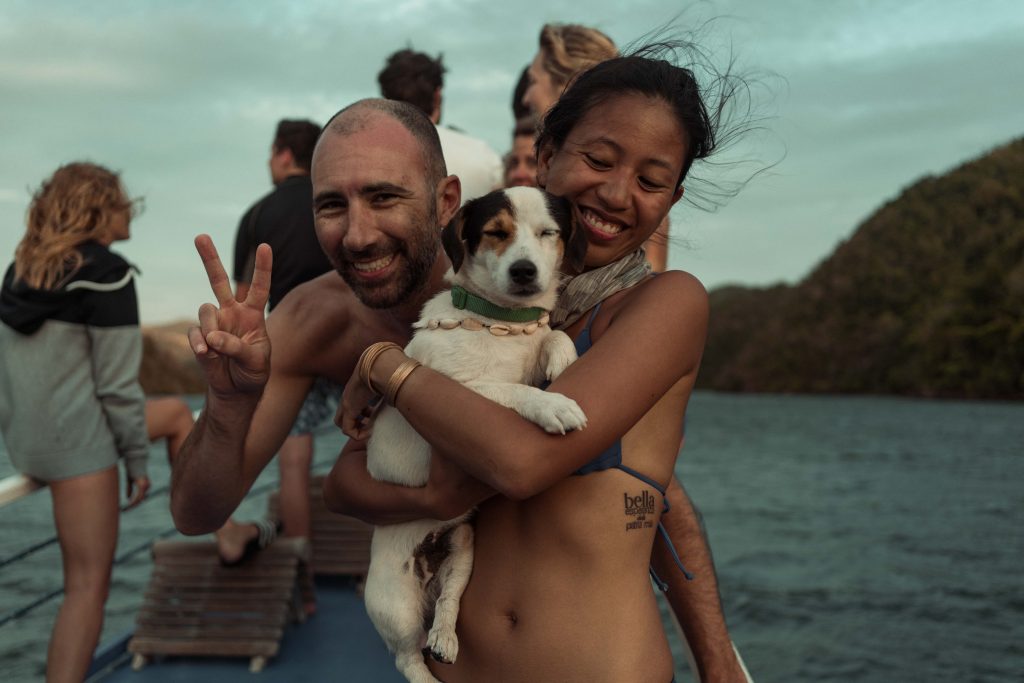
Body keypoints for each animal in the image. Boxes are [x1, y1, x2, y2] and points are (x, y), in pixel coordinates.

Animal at [364, 187, 589, 683]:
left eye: (549, 232)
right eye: (495, 233)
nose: (524, 271)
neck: (501, 322)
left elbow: (550, 337)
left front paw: (563, 357)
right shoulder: (467, 391)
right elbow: (518, 389)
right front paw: (553, 406)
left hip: (464, 546)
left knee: (447, 603)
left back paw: (445, 638)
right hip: (395, 603)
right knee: (406, 658)